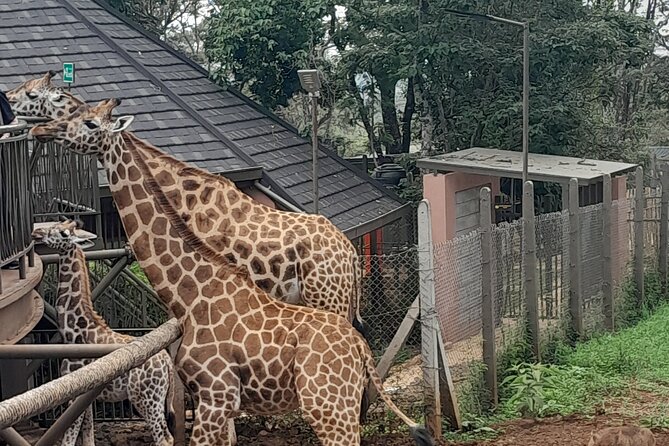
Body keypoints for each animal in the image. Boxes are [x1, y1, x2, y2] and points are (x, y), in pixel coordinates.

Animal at [32, 219, 176, 446]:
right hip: (158, 398)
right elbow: (88, 435)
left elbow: (69, 438)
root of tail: (167, 363)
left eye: (63, 233)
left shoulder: (73, 393)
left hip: (145, 398)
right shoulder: (86, 396)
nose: (36, 233)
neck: (74, 331)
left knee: (163, 438)